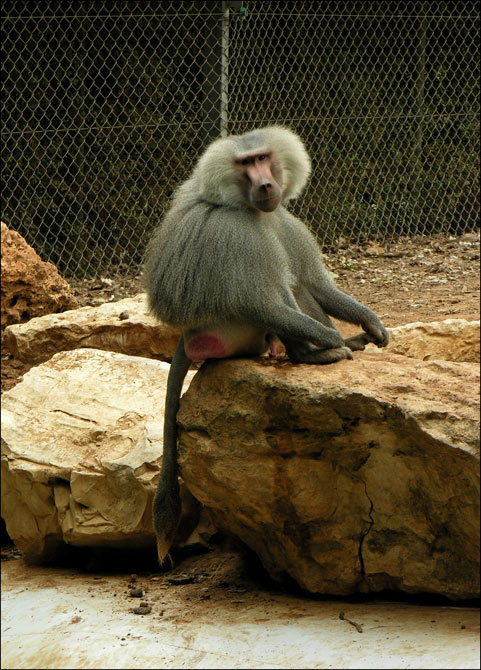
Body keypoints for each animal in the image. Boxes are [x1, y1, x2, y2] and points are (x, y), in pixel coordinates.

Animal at [144, 126, 389, 563]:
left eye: (263, 158)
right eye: (245, 164)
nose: (265, 185)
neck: (251, 209)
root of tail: (188, 340)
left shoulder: (284, 222)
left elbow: (317, 285)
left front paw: (369, 323)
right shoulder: (237, 235)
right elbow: (263, 302)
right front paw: (327, 340)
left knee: (296, 286)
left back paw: (340, 342)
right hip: (228, 333)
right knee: (271, 299)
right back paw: (315, 352)